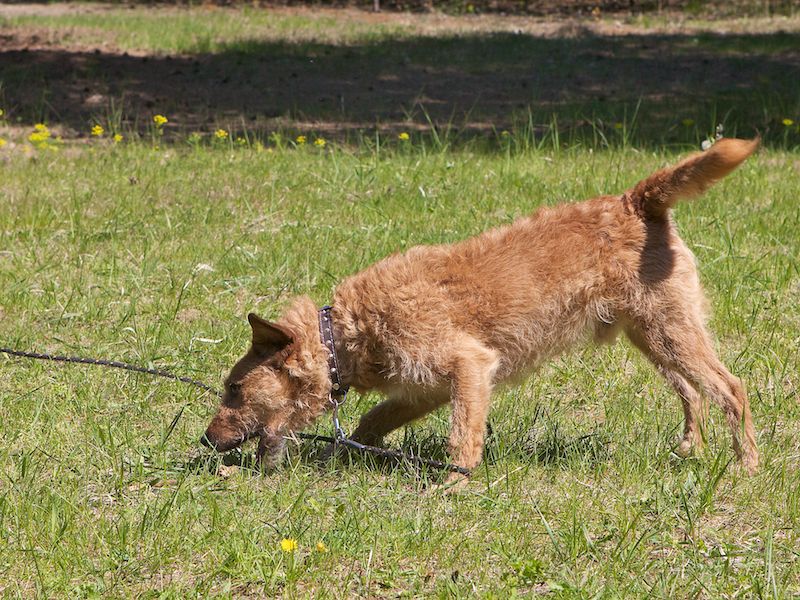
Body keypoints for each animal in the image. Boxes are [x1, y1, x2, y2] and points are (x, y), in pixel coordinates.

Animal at [202, 138, 760, 487]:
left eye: (234, 389)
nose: (206, 440)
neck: (345, 331)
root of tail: (636, 201)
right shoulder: (421, 390)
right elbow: (371, 421)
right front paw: (334, 456)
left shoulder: (469, 367)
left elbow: (462, 436)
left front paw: (455, 486)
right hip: (654, 337)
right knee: (693, 392)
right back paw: (689, 448)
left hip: (672, 335)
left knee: (731, 389)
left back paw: (746, 467)